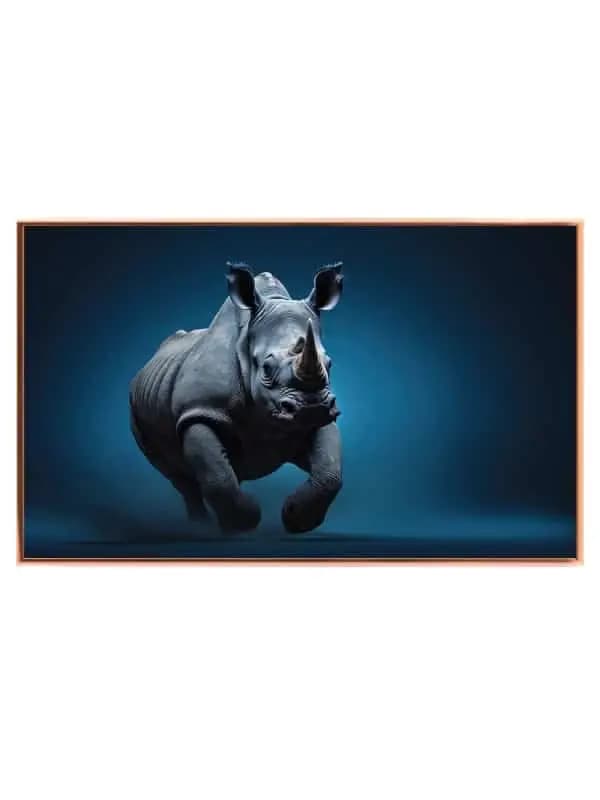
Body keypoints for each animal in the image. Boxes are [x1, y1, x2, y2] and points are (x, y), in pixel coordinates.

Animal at [129, 262, 344, 533]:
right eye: (266, 368)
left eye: (329, 364)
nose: (311, 408)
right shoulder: (199, 409)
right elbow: (217, 477)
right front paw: (245, 522)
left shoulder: (322, 415)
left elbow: (330, 472)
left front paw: (294, 517)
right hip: (136, 409)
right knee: (176, 474)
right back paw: (200, 527)